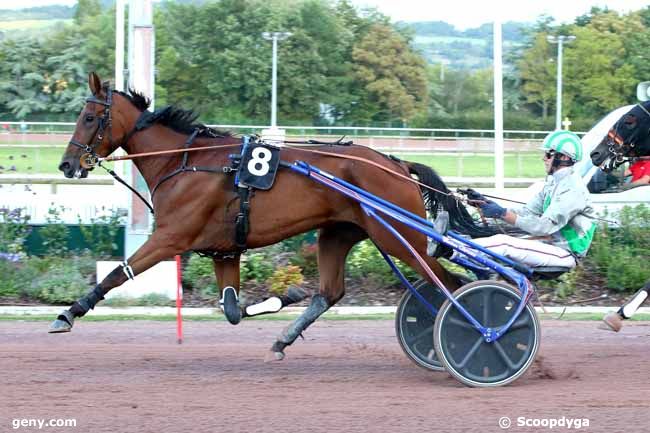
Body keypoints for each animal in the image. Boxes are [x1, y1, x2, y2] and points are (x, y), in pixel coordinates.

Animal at [53, 72, 488, 360]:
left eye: (89, 118)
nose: (67, 165)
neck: (185, 162)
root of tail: (395, 163)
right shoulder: (225, 249)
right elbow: (231, 310)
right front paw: (284, 296)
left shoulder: (171, 237)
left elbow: (117, 273)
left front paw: (68, 314)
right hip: (338, 233)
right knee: (330, 293)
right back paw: (283, 340)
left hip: (399, 237)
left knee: (451, 283)